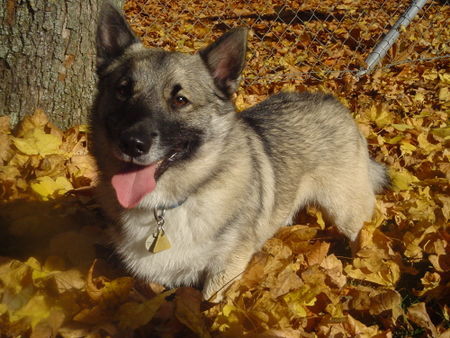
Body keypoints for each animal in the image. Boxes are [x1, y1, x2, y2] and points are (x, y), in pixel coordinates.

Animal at [89, 1, 388, 298]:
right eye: (123, 90)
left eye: (180, 100)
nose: (132, 143)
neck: (167, 205)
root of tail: (332, 101)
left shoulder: (224, 269)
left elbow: (211, 304)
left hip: (346, 211)